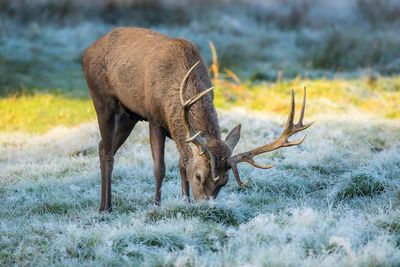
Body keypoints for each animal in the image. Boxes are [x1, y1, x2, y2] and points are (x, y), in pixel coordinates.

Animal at [81, 26, 312, 211]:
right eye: (199, 176)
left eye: (224, 182)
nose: (205, 207)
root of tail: (86, 51)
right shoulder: (154, 118)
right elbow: (159, 168)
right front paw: (156, 206)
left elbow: (183, 164)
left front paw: (185, 201)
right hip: (101, 97)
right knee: (107, 151)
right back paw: (105, 208)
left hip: (130, 114)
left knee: (102, 146)